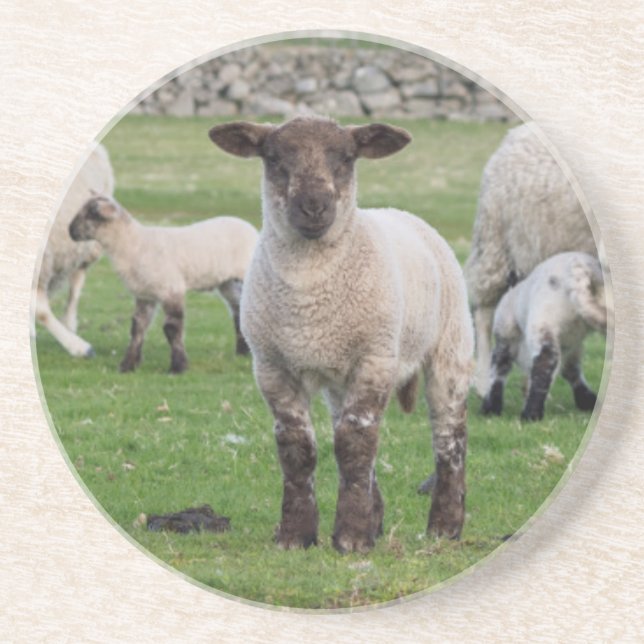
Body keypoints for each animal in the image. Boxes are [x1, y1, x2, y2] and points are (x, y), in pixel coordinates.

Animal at [68, 196, 258, 373]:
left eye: (91, 213)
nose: (70, 231)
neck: (132, 245)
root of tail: (248, 226)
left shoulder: (170, 288)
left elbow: (171, 329)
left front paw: (178, 366)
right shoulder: (145, 294)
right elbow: (137, 328)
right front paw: (128, 365)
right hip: (227, 283)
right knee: (238, 310)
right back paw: (242, 352)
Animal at [209, 117, 474, 553]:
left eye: (347, 157)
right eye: (273, 157)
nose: (314, 206)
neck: (309, 295)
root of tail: (402, 213)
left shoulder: (374, 357)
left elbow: (355, 443)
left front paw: (351, 537)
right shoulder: (272, 366)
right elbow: (298, 447)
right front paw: (297, 535)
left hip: (449, 348)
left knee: (449, 437)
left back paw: (444, 527)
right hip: (339, 378)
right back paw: (377, 519)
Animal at [481, 252, 607, 421]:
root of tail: (583, 270)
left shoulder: (505, 335)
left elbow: (498, 369)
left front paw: (491, 407)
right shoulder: (570, 345)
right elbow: (570, 369)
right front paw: (587, 401)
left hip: (543, 320)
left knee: (543, 362)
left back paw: (530, 414)